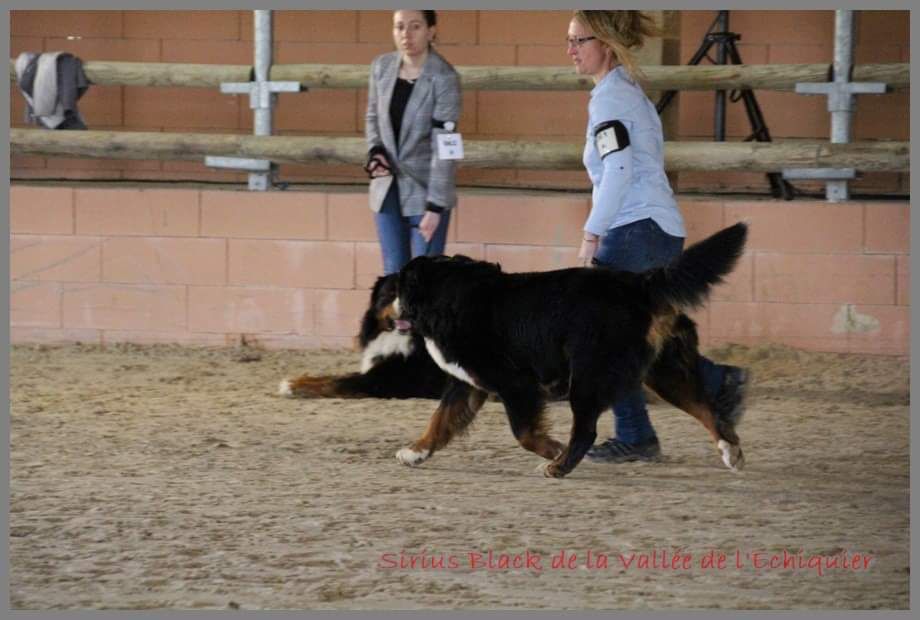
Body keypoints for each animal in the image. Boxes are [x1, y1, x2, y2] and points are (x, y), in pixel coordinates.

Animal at [392, 223, 752, 480]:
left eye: (399, 286)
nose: (391, 307)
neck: (448, 296)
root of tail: (638, 283)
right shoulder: (466, 383)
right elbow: (439, 420)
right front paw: (416, 451)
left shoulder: (516, 384)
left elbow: (524, 433)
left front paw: (552, 449)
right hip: (664, 372)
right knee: (704, 406)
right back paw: (731, 449)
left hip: (589, 376)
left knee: (586, 430)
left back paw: (560, 466)